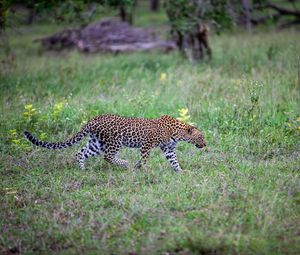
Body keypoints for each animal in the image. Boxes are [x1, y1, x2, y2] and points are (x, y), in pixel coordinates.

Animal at [24, 115, 206, 171]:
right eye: (201, 137)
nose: (205, 145)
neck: (177, 133)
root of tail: (92, 120)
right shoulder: (147, 145)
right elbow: (144, 159)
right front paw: (141, 169)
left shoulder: (168, 149)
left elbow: (174, 161)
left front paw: (180, 172)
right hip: (114, 141)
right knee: (108, 157)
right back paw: (125, 163)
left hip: (96, 143)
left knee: (80, 153)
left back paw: (82, 170)